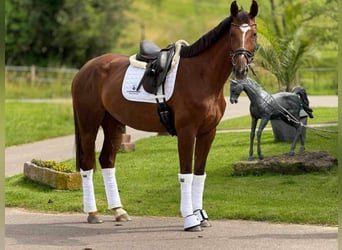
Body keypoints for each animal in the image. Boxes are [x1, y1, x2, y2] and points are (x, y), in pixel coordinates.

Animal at [73, 0, 260, 231]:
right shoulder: (187, 132)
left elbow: (200, 174)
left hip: (114, 124)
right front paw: (190, 219)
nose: (241, 69)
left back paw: (119, 212)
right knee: (87, 164)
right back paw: (92, 213)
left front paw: (201, 216)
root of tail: (84, 69)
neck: (200, 76)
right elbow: (186, 175)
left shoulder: (208, 133)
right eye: (232, 34)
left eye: (254, 33)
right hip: (88, 126)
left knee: (107, 161)